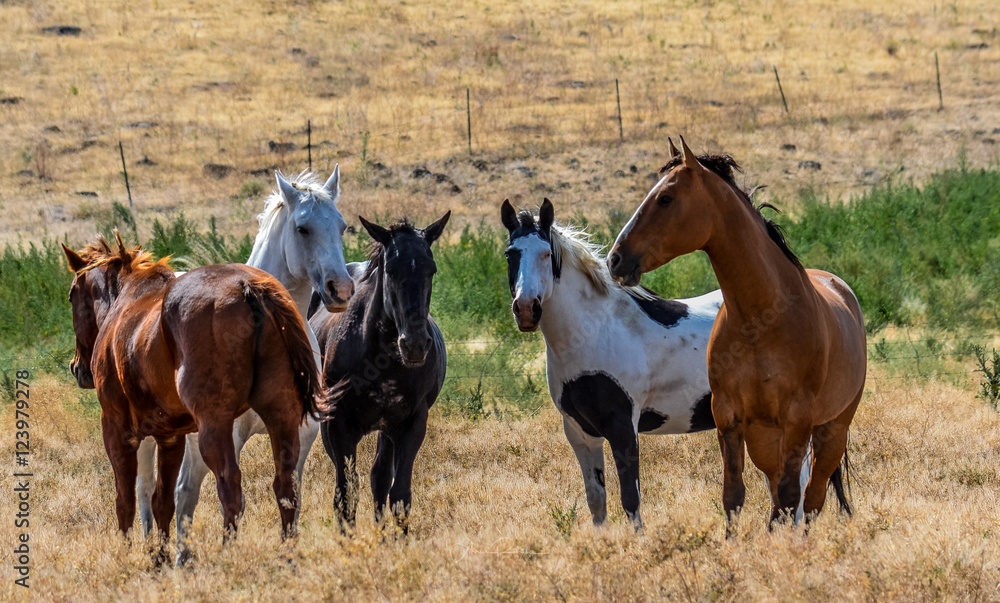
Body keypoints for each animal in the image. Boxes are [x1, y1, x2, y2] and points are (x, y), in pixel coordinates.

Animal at [62, 232, 324, 561]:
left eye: (72, 295)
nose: (77, 367)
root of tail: (248, 286)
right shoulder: (170, 437)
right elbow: (162, 500)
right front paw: (160, 558)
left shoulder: (117, 430)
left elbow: (125, 500)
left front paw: (126, 555)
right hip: (282, 418)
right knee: (286, 488)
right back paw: (287, 557)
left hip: (214, 428)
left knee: (230, 487)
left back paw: (227, 553)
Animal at [132, 168, 354, 565]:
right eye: (302, 228)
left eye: (342, 227)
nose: (340, 289)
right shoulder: (227, 437)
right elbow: (227, 498)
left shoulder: (298, 436)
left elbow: (289, 496)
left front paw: (288, 557)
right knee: (152, 488)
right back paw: (159, 552)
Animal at [309, 212, 450, 533]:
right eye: (392, 271)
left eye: (431, 269)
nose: (414, 344)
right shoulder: (339, 425)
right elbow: (346, 494)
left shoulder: (411, 425)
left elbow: (399, 494)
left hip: (387, 430)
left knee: (381, 478)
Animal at [501, 198, 723, 528]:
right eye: (510, 254)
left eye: (546, 254)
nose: (527, 309)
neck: (595, 332)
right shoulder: (581, 433)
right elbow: (596, 501)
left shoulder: (623, 428)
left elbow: (631, 499)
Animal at [608, 138, 865, 535]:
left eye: (665, 198)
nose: (616, 259)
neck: (762, 321)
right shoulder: (729, 419)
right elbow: (734, 495)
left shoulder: (797, 422)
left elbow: (792, 498)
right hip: (766, 438)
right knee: (781, 495)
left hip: (831, 431)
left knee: (813, 497)